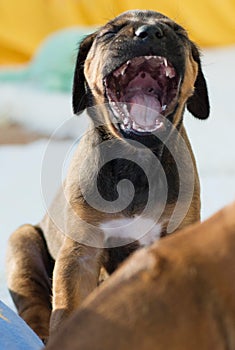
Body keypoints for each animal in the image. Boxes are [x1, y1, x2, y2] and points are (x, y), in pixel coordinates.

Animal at [6, 9, 209, 340]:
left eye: (178, 32)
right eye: (111, 32)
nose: (150, 32)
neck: (136, 160)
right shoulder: (81, 254)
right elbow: (67, 309)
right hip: (21, 240)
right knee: (33, 306)